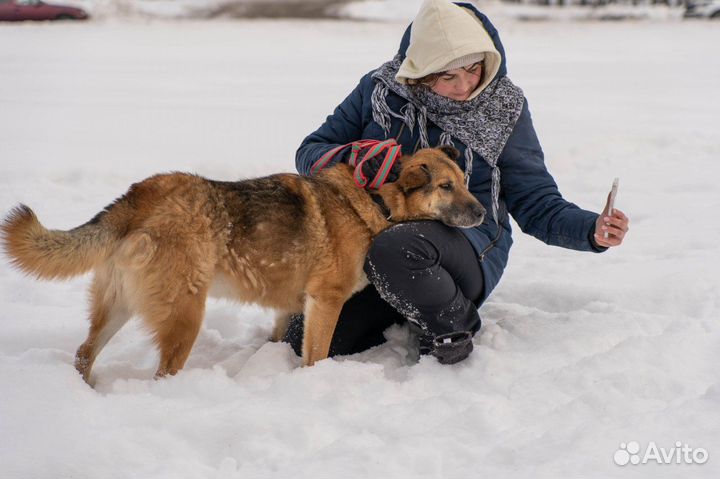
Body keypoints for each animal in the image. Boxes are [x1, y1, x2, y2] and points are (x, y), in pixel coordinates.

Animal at [1, 146, 484, 382]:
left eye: (464, 181)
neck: (373, 199)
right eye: (446, 186)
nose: (483, 213)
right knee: (161, 372)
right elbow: (316, 357)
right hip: (185, 317)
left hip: (116, 307)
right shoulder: (325, 302)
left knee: (84, 354)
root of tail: (139, 196)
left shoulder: (293, 307)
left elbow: (284, 340)